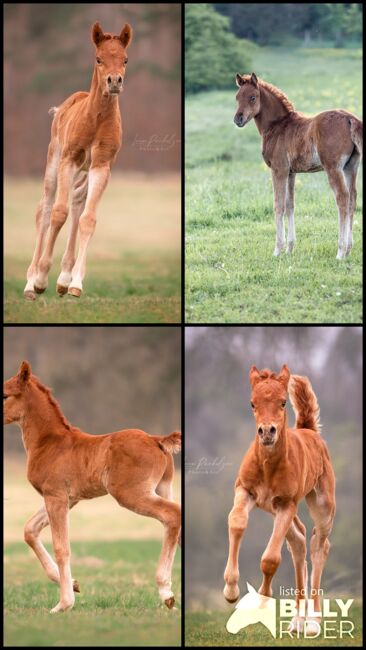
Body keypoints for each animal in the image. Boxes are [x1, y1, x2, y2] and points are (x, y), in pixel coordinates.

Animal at [2, 362, 180, 612]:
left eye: (5, 395)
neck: (49, 442)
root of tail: (157, 439)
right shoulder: (68, 499)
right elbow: (30, 530)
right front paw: (74, 584)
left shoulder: (55, 496)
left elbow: (62, 548)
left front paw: (63, 604)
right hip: (163, 488)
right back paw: (169, 593)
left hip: (131, 494)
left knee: (172, 514)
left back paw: (165, 592)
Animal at [23, 21, 132, 300]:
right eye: (99, 58)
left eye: (125, 59)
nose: (114, 82)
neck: (96, 119)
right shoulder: (68, 161)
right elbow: (58, 213)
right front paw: (41, 280)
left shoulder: (101, 167)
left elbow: (87, 219)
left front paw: (75, 283)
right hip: (54, 162)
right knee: (45, 209)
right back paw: (30, 283)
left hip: (83, 173)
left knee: (77, 205)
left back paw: (63, 278)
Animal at [223, 364, 334, 632]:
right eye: (252, 403)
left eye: (283, 402)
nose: (266, 432)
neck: (269, 466)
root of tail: (309, 430)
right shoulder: (245, 490)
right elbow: (237, 522)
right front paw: (230, 590)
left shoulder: (286, 503)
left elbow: (271, 558)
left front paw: (262, 600)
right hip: (273, 507)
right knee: (299, 540)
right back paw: (296, 621)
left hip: (322, 504)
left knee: (319, 545)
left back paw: (313, 621)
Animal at [233, 74, 362, 258]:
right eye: (237, 97)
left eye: (252, 97)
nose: (238, 119)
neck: (277, 126)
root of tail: (350, 119)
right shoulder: (291, 172)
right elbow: (290, 205)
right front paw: (289, 249)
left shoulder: (278, 170)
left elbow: (278, 205)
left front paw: (277, 250)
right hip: (351, 167)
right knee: (352, 198)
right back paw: (349, 249)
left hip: (333, 168)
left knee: (342, 198)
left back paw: (340, 252)